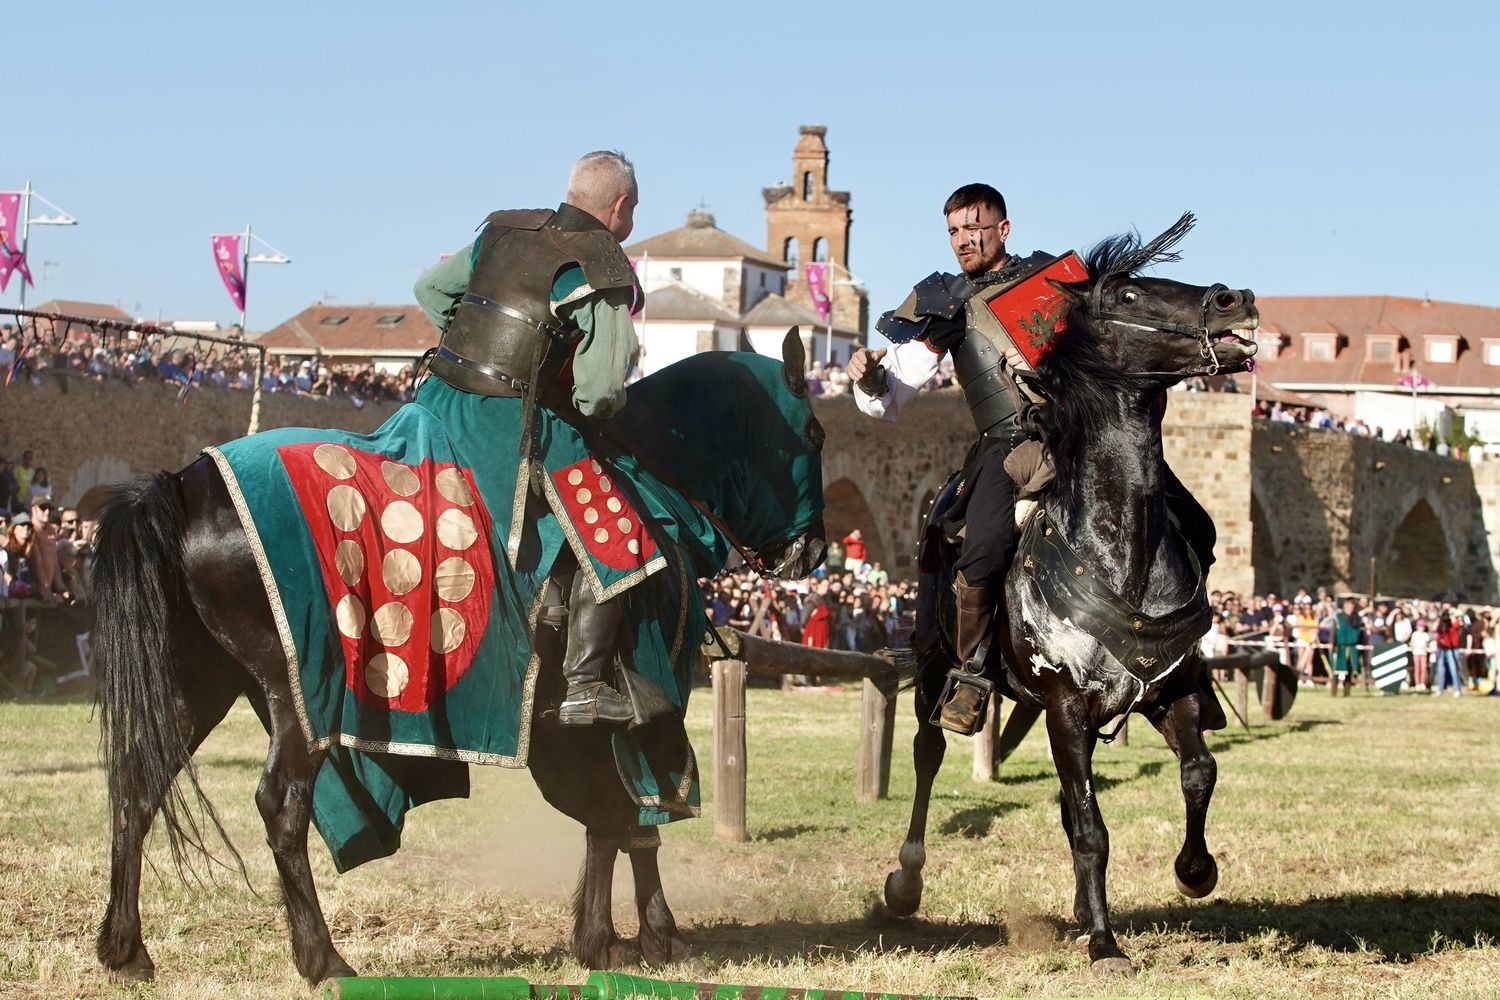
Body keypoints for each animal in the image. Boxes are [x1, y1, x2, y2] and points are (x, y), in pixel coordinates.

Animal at [93, 334, 828, 983]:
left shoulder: (566, 728)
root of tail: (182, 486)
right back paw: (323, 960)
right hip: (300, 693)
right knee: (280, 805)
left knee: (138, 787)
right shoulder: (649, 701)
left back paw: (126, 949)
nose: (814, 553)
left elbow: (605, 817)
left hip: (201, 682)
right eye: (816, 433)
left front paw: (603, 939)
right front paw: (655, 936)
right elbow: (633, 813)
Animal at [882, 215, 1260, 971]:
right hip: (937, 659)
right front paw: (1106, 944)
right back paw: (906, 883)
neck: (1119, 553)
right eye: (1130, 292)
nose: (1235, 300)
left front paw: (1193, 872)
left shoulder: (1166, 691)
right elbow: (1091, 828)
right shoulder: (1065, 704)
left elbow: (1198, 773)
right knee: (928, 754)